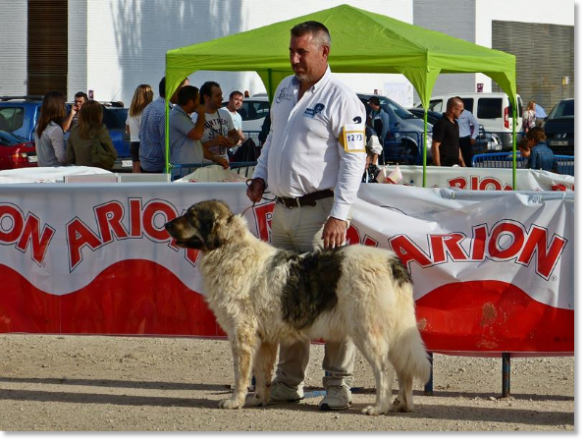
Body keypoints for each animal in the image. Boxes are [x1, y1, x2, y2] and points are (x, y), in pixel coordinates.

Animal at [164, 200, 428, 414]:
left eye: (192, 215)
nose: (166, 225)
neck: (229, 250)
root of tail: (392, 262)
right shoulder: (265, 340)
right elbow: (262, 373)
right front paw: (258, 400)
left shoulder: (242, 335)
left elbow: (241, 374)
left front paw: (235, 402)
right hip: (395, 333)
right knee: (404, 369)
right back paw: (403, 404)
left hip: (367, 333)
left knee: (384, 370)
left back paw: (379, 407)